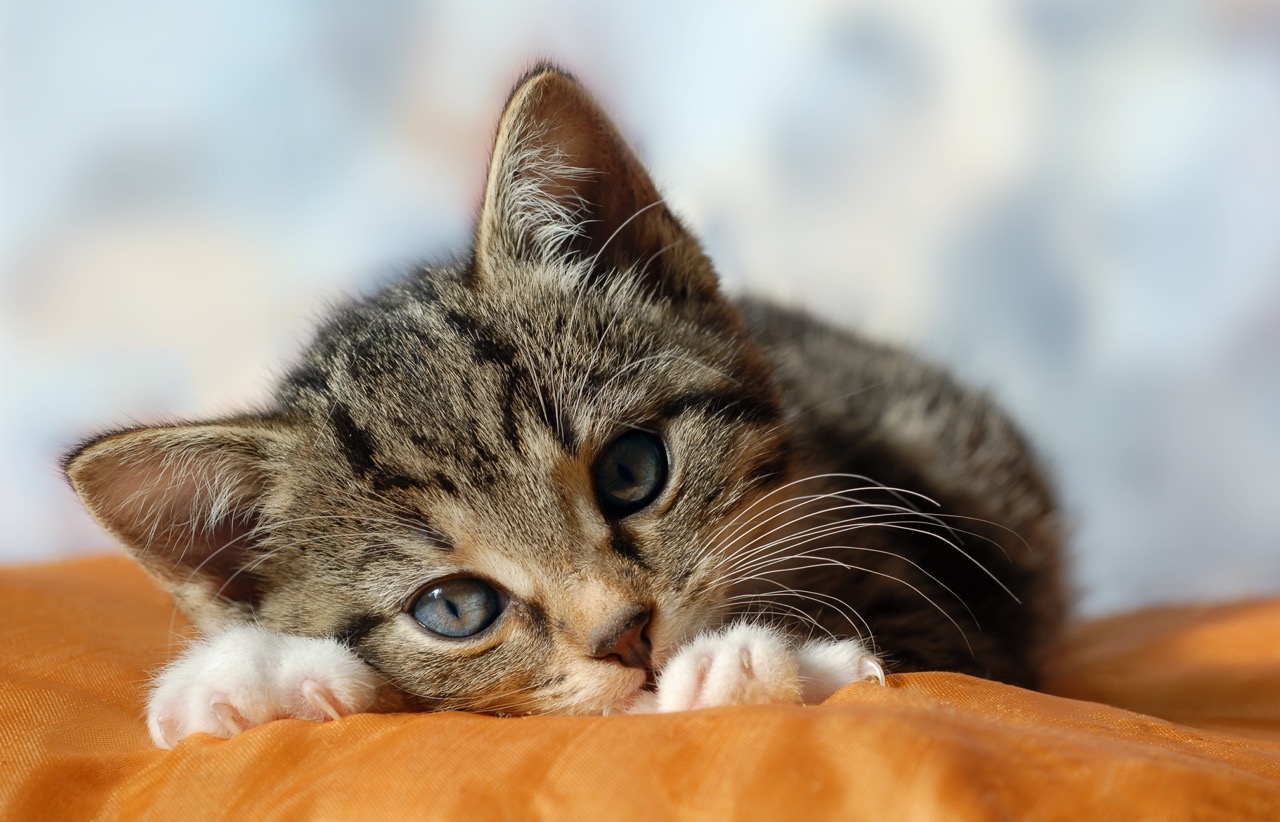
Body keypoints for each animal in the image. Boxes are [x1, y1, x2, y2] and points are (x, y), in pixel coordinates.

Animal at [62, 62, 1059, 742]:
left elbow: (933, 665)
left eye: (631, 471)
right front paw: (248, 673)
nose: (626, 636)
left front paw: (748, 663)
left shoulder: (948, 588)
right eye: (455, 608)